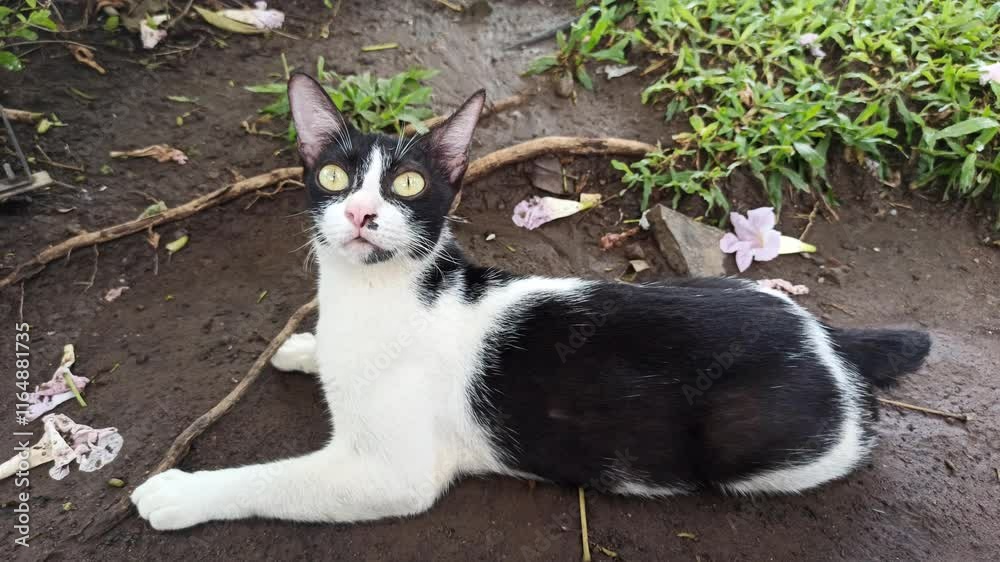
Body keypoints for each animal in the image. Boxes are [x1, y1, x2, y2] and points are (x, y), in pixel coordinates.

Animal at [132, 73, 931, 531]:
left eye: (409, 185)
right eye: (333, 176)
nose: (360, 213)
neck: (374, 294)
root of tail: (828, 334)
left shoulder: (389, 475)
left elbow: (278, 479)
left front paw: (181, 495)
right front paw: (305, 346)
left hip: (759, 445)